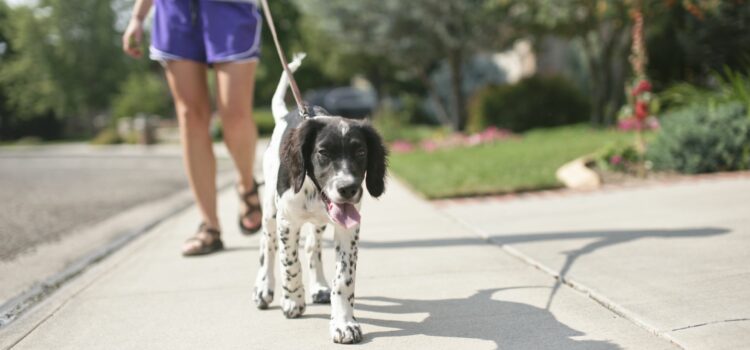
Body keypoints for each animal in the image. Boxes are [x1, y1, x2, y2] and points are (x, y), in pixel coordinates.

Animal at [256, 54, 390, 344]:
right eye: (323, 153)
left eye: (361, 152)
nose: (348, 188)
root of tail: (285, 114)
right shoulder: (287, 222)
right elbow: (289, 262)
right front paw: (292, 300)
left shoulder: (348, 228)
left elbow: (344, 279)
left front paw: (344, 323)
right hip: (270, 212)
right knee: (268, 246)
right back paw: (264, 288)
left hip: (319, 223)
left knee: (312, 247)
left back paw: (317, 286)